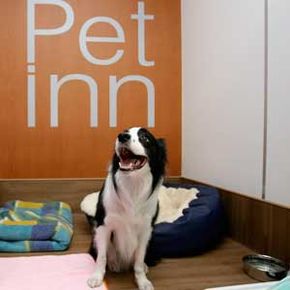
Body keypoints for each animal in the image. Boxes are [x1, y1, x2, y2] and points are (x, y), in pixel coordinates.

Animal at [87, 127, 167, 290]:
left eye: (145, 138)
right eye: (125, 131)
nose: (122, 136)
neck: (133, 184)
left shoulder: (146, 230)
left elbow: (138, 260)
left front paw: (142, 281)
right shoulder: (103, 226)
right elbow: (101, 257)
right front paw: (96, 277)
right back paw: (114, 263)